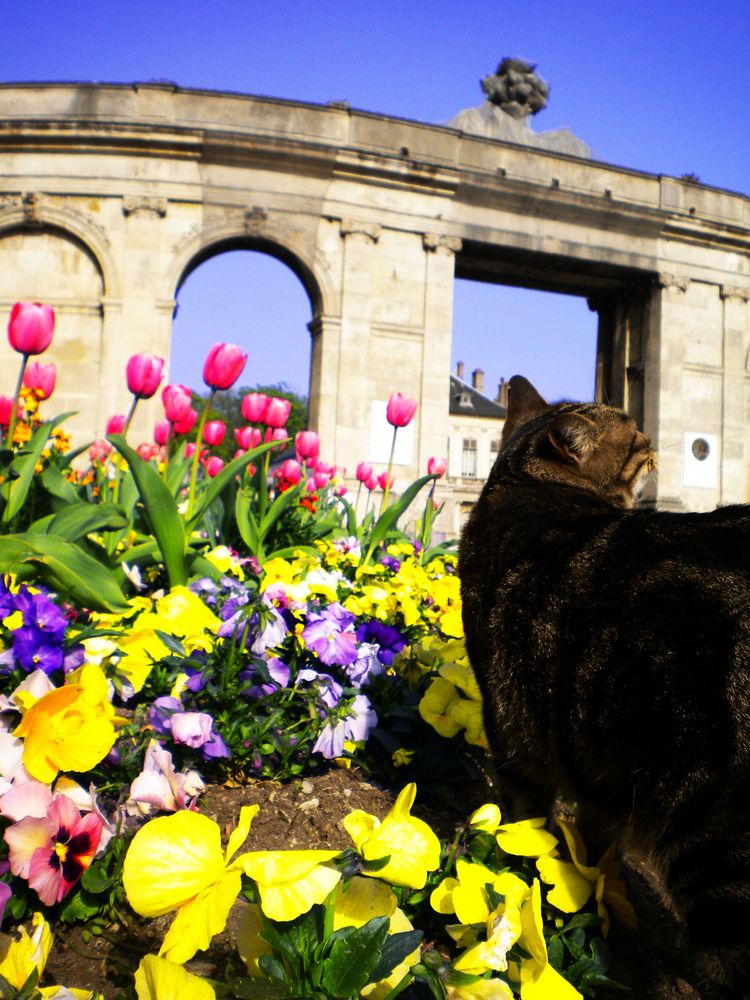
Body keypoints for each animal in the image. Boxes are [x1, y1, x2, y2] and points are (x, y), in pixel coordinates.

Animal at [462, 374, 748, 992]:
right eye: (635, 435)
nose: (653, 436)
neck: (522, 485)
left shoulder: (520, 740)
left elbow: (538, 823)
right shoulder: (576, 763)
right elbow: (582, 841)